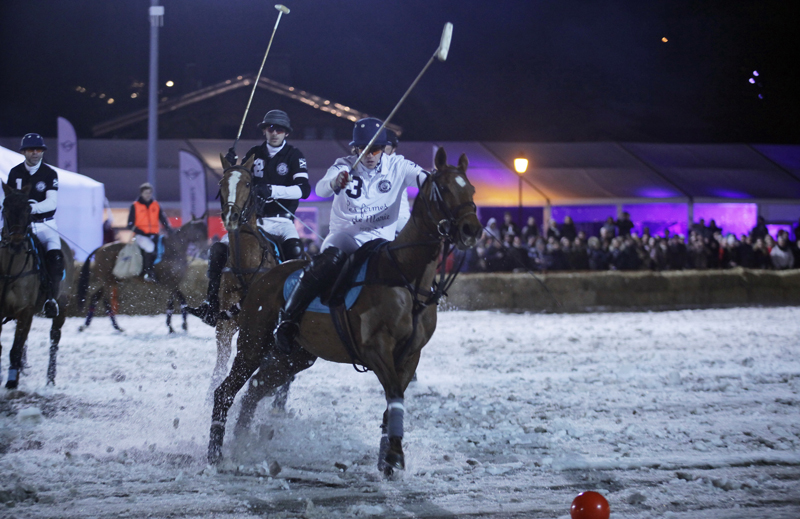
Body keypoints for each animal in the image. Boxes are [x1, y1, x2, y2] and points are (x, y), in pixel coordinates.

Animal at [0, 185, 76, 388]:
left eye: (28, 209)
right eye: (4, 208)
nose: (16, 243)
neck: (10, 267)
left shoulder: (25, 310)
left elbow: (15, 349)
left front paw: (12, 383)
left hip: (62, 305)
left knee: (54, 338)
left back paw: (50, 379)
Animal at [76, 218, 208, 334]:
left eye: (205, 230)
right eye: (199, 231)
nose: (206, 250)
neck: (174, 249)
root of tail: (101, 248)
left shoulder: (175, 282)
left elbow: (181, 300)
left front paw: (183, 325)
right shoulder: (169, 282)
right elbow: (174, 303)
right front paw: (172, 327)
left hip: (112, 280)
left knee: (95, 297)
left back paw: (85, 326)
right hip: (108, 281)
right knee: (106, 302)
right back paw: (117, 327)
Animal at [208, 146, 482, 476]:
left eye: (471, 188)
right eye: (443, 188)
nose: (472, 229)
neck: (404, 275)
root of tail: (260, 278)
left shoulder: (411, 355)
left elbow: (394, 400)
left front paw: (387, 458)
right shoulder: (376, 349)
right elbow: (394, 395)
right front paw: (393, 456)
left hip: (293, 357)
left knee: (253, 392)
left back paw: (243, 446)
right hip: (252, 343)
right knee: (225, 391)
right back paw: (215, 455)